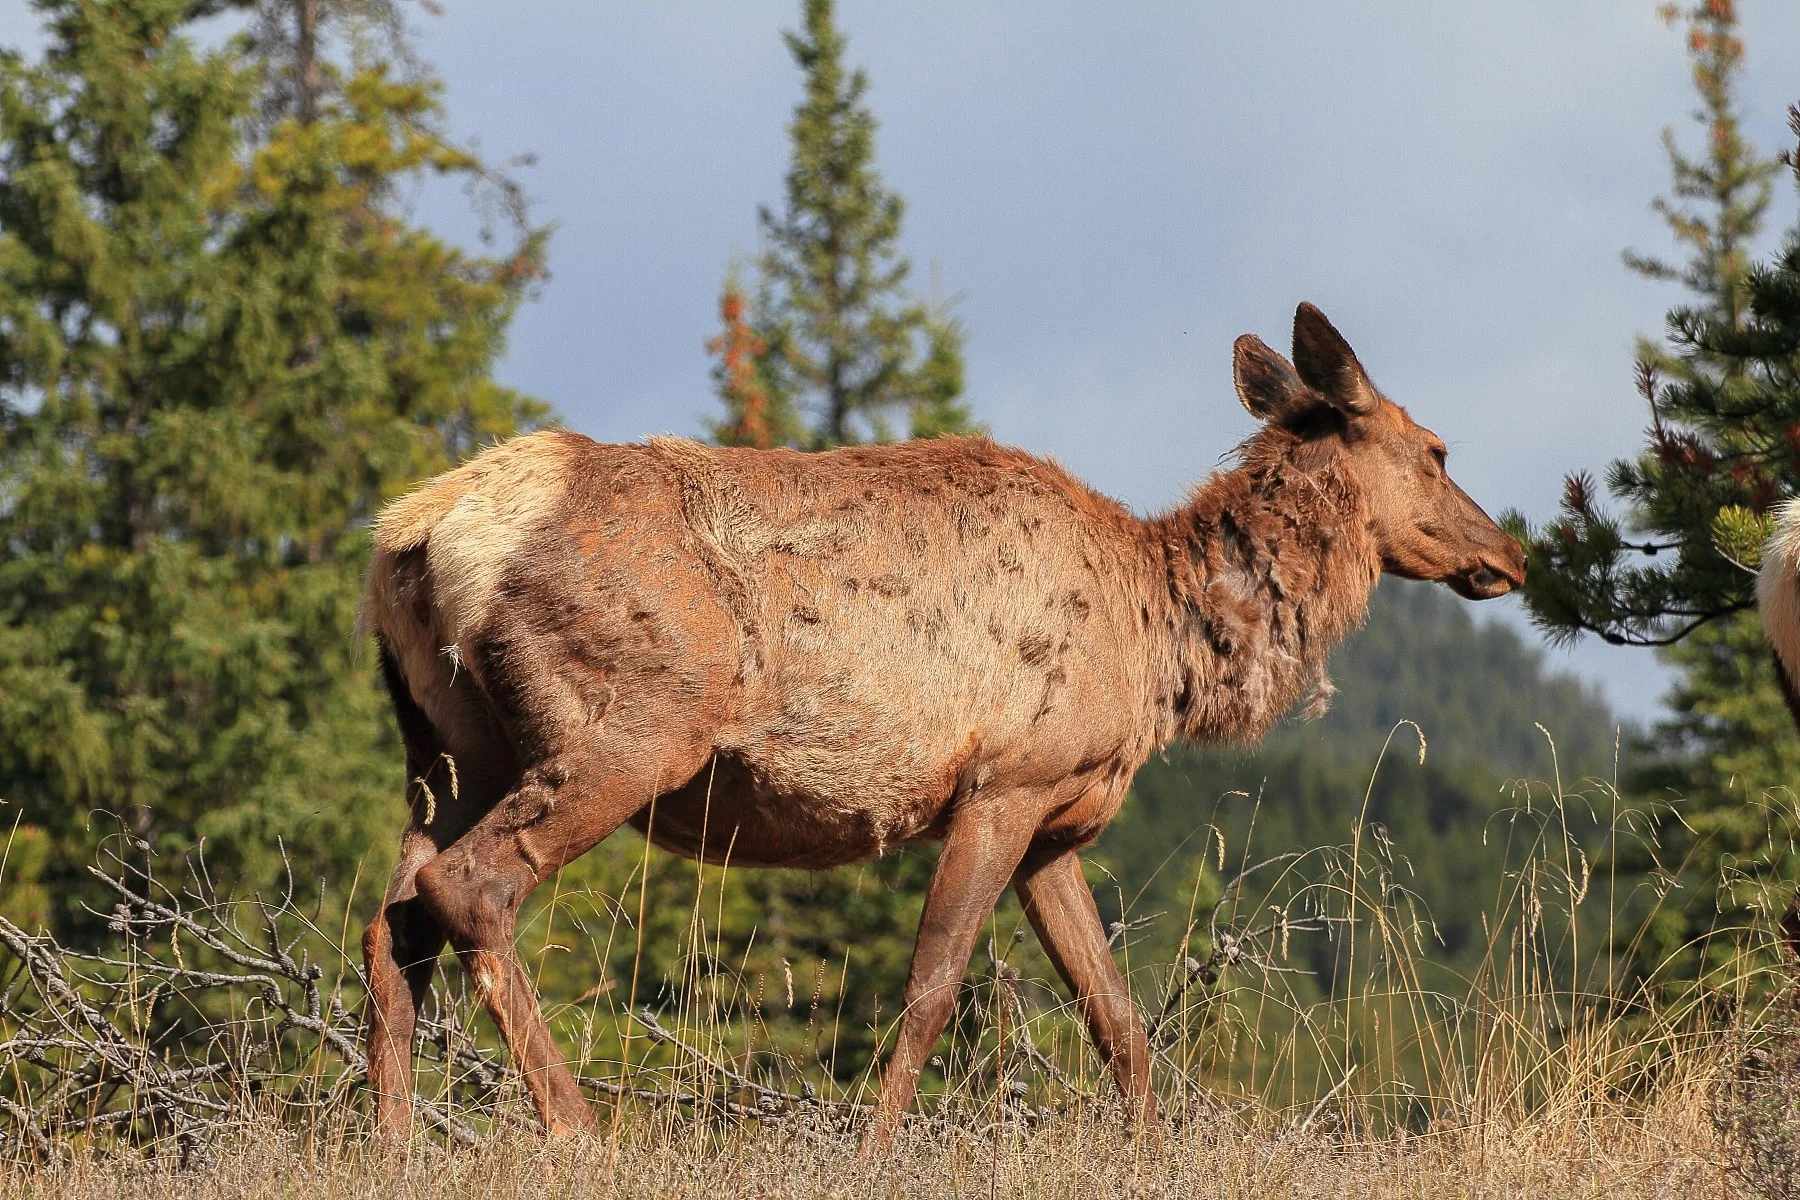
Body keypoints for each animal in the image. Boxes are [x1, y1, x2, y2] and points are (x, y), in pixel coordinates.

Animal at [358, 303, 1526, 1147]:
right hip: (629, 726)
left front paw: (1155, 1153)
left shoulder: (1055, 827)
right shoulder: (1004, 782)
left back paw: (395, 1145)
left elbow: (1117, 1018)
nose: (1511, 553)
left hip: (449, 749)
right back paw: (578, 1132)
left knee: (394, 916)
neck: (1165, 641)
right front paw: (873, 1151)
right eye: (1435, 448)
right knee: (471, 889)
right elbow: (930, 989)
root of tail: (416, 534)